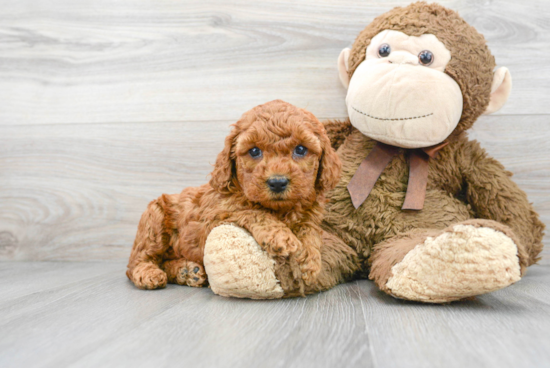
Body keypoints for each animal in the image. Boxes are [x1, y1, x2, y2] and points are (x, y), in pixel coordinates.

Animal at [128, 100, 342, 290]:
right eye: (254, 151)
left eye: (301, 149)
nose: (277, 182)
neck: (280, 210)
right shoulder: (215, 216)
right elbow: (252, 212)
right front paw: (281, 237)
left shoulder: (309, 215)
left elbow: (309, 230)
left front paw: (310, 260)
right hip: (154, 220)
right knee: (137, 261)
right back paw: (149, 273)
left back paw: (187, 271)